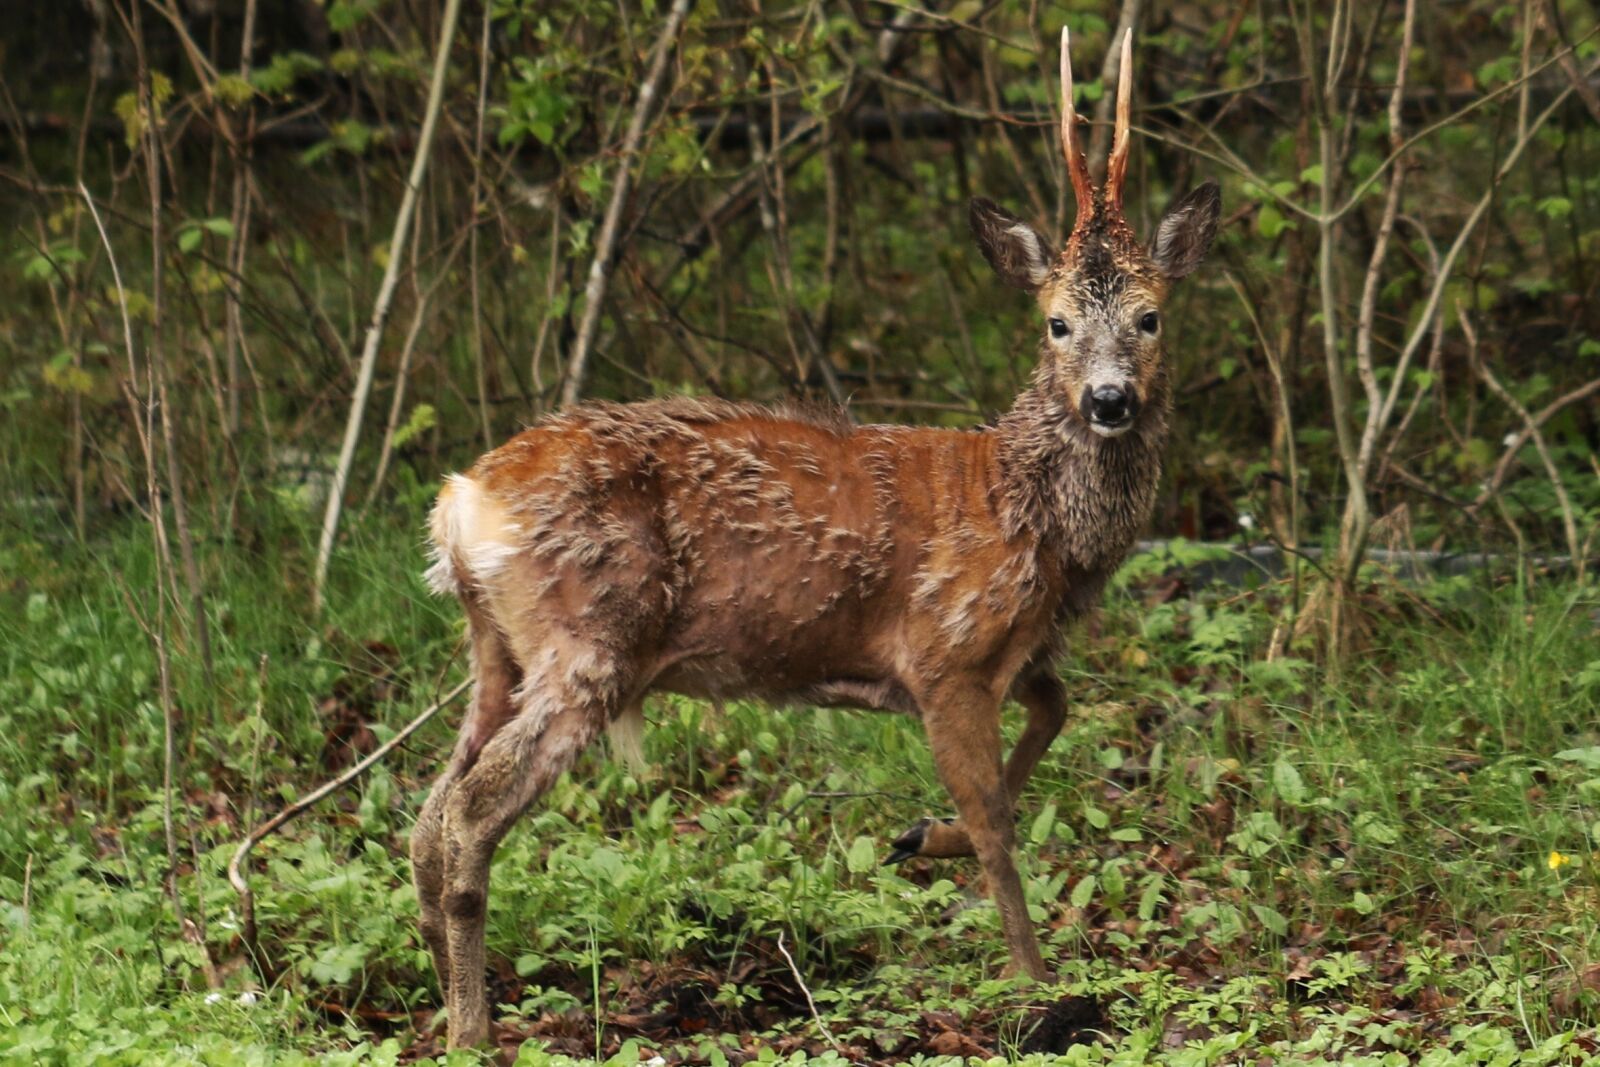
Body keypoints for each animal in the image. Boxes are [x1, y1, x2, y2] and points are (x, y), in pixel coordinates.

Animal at [411, 27, 1220, 1049]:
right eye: (1057, 321)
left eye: (1150, 317)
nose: (1110, 400)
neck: (1030, 513)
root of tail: (459, 500)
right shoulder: (944, 651)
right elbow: (996, 818)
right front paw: (1035, 982)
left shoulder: (1014, 652)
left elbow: (1057, 710)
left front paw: (923, 836)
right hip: (586, 639)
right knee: (470, 810)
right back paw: (472, 1029)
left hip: (497, 646)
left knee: (427, 810)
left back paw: (442, 992)